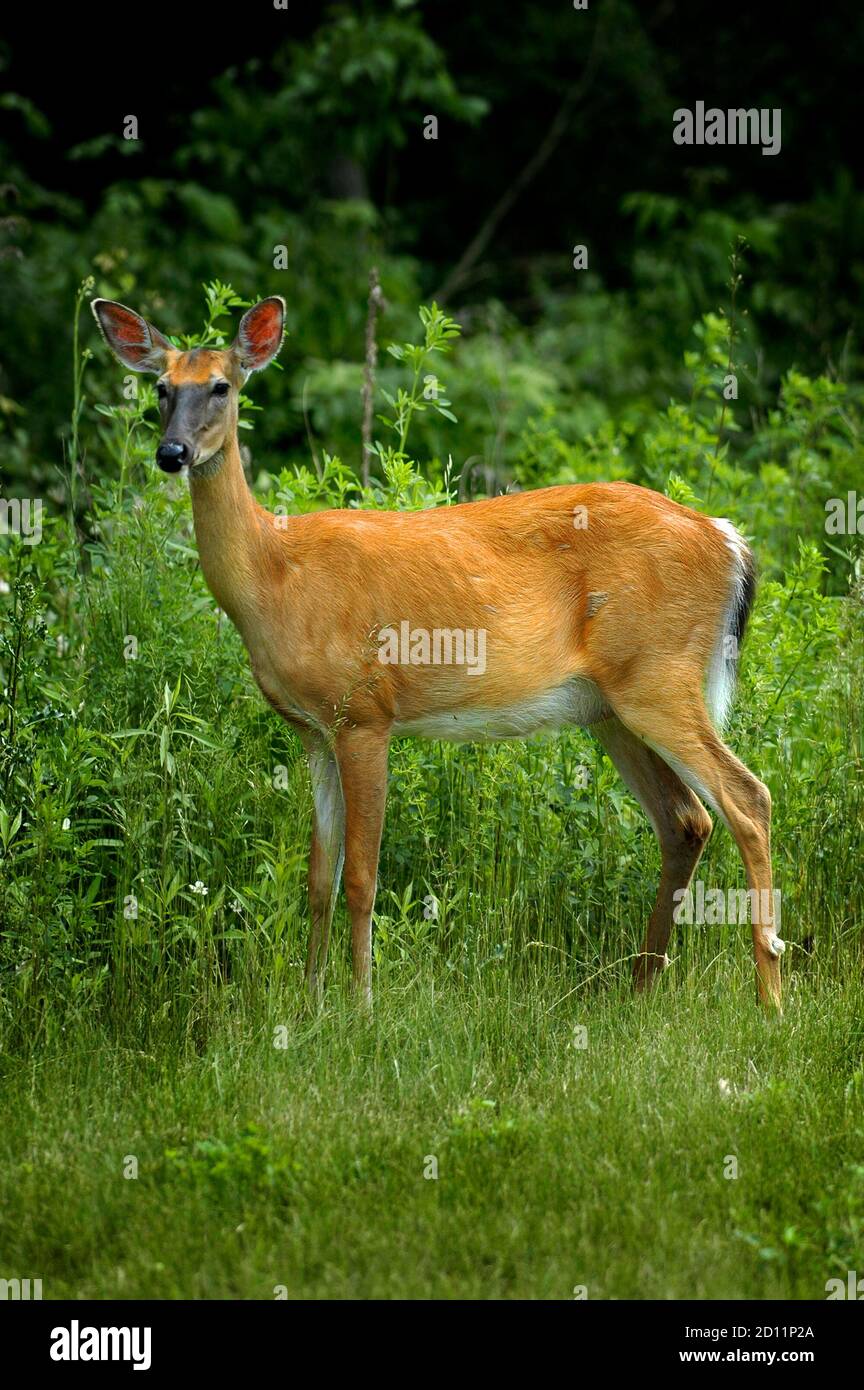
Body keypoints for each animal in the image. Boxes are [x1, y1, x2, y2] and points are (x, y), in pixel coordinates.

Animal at [91, 294, 785, 1010]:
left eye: (221, 386)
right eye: (161, 387)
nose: (171, 451)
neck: (275, 576)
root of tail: (729, 539)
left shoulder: (366, 713)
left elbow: (361, 876)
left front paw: (361, 1005)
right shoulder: (312, 730)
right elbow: (318, 876)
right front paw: (312, 1001)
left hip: (658, 674)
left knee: (748, 799)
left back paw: (769, 994)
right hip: (610, 706)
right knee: (686, 820)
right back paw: (638, 987)